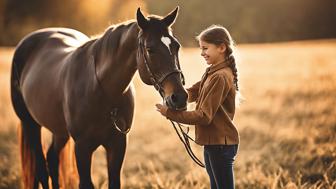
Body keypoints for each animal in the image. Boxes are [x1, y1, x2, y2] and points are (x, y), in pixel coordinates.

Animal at [9, 7, 186, 189]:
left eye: (176, 46)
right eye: (150, 49)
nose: (179, 97)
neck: (101, 91)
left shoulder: (117, 145)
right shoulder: (82, 148)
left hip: (59, 131)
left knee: (52, 159)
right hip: (30, 124)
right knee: (42, 168)